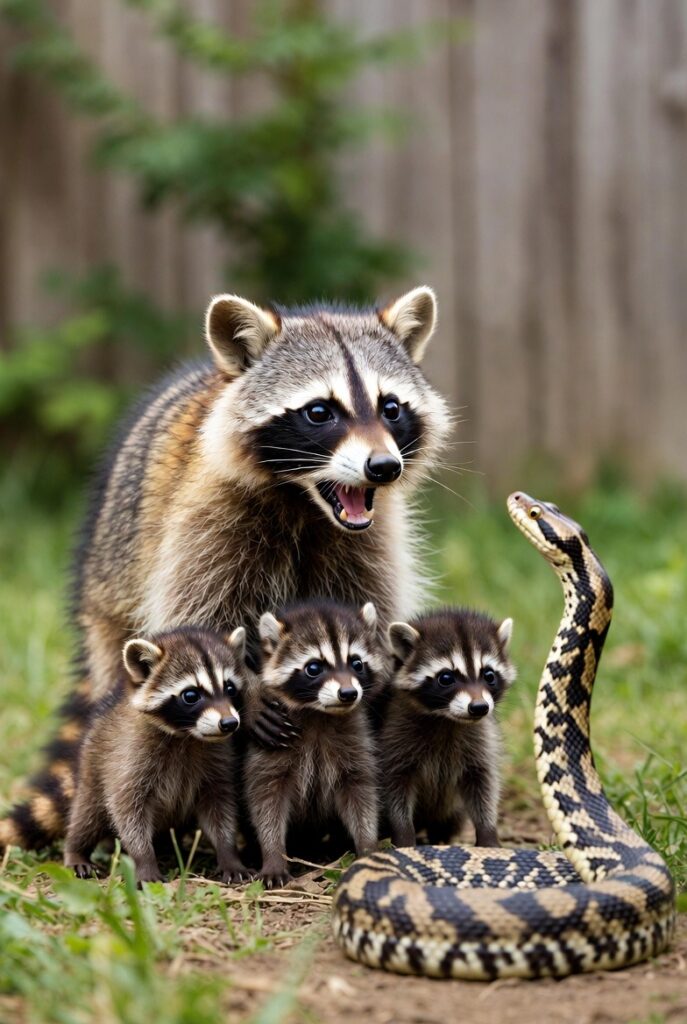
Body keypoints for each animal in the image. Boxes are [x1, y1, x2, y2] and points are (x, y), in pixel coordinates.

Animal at [1, 286, 450, 850]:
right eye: (319, 412)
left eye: (390, 408)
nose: (383, 467)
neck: (305, 502)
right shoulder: (204, 523)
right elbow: (201, 622)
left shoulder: (373, 539)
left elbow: (367, 616)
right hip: (112, 598)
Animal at [64, 627, 252, 885]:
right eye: (191, 695)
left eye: (230, 688)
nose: (230, 723)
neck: (186, 735)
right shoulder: (129, 758)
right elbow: (128, 810)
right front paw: (144, 860)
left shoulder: (217, 764)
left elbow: (220, 809)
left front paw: (228, 853)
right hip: (91, 770)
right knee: (87, 816)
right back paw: (76, 849)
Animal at [245, 601, 383, 887]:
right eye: (314, 668)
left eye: (356, 663)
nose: (348, 693)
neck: (319, 713)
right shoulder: (270, 749)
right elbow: (266, 800)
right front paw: (273, 854)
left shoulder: (356, 742)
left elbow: (361, 795)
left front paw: (367, 845)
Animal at [382, 608, 516, 848]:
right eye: (446, 678)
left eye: (489, 675)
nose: (479, 707)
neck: (447, 719)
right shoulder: (394, 737)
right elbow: (395, 790)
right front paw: (404, 837)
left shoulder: (481, 742)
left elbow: (484, 785)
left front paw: (488, 834)